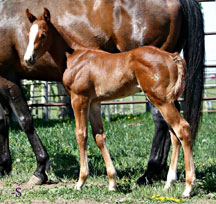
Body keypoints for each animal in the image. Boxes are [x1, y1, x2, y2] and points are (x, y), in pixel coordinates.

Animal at [0, 0, 203, 186]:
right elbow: (99, 136)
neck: (75, 56)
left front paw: (46, 172)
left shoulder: (75, 98)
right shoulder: (94, 101)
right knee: (174, 130)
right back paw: (167, 177)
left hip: (156, 96)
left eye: (42, 34)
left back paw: (154, 175)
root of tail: (171, 57)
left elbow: (67, 130)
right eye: (28, 34)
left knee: (172, 125)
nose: (28, 59)